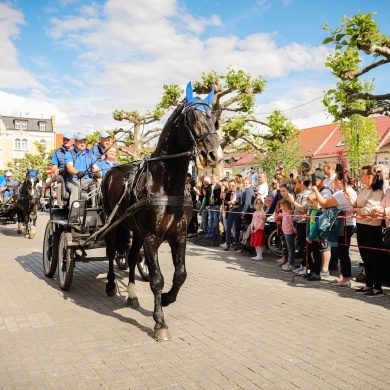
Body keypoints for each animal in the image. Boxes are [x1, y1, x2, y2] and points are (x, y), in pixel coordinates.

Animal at [101, 83, 222, 342]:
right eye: (194, 118)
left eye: (215, 120)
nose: (215, 156)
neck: (166, 185)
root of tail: (113, 170)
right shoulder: (151, 237)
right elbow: (157, 279)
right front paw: (160, 323)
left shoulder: (179, 236)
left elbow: (180, 275)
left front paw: (167, 299)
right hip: (114, 224)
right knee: (111, 251)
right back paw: (110, 285)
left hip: (135, 231)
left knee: (133, 257)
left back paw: (132, 295)